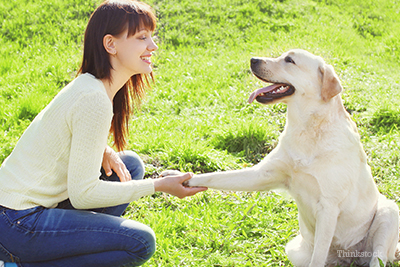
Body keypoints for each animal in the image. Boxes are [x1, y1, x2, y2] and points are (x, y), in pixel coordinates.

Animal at [183, 49, 398, 266]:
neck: (306, 129)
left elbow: (318, 256)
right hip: (294, 250)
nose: (253, 60)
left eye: (289, 60)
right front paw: (183, 179)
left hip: (388, 213)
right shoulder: (261, 175)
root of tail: (348, 258)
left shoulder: (328, 206)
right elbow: (215, 177)